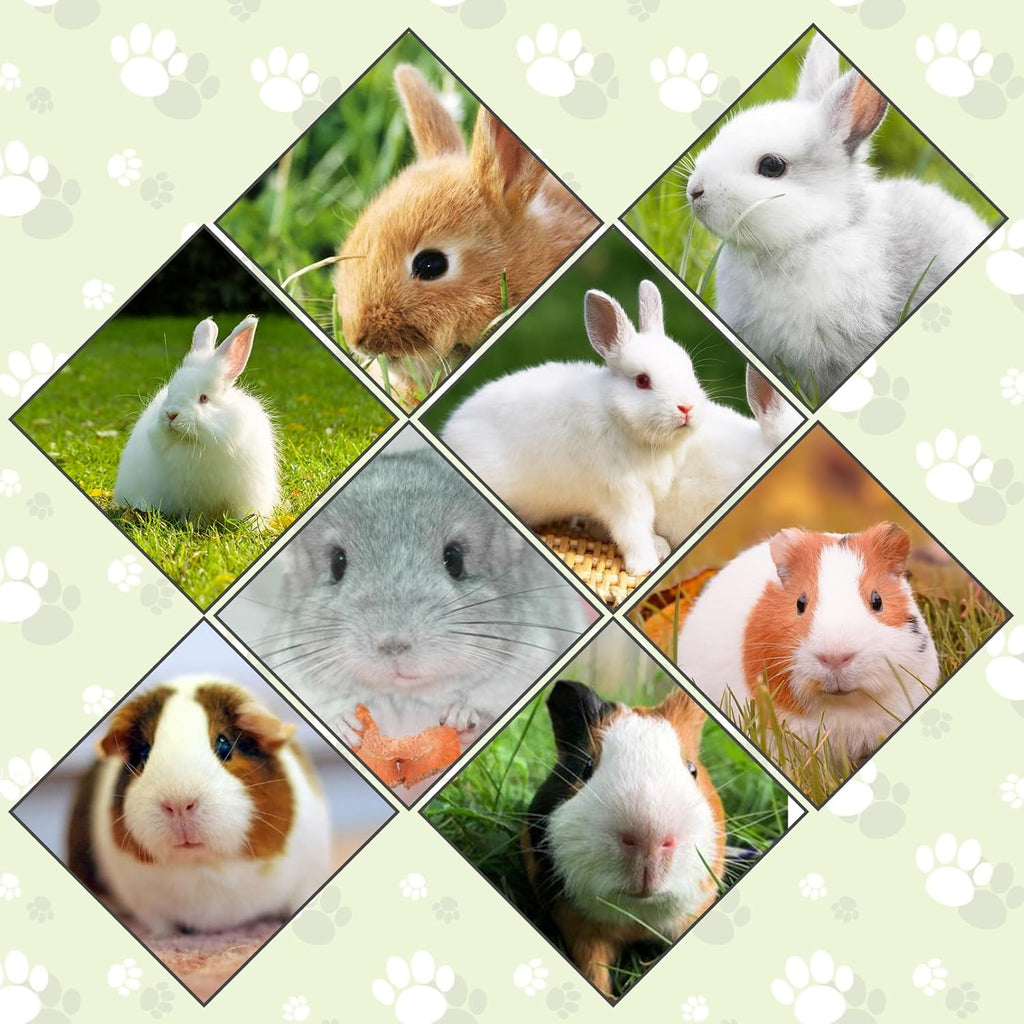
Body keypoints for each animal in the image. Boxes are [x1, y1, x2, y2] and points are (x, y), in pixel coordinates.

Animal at [67, 676, 331, 937]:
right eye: (144, 753)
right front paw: (165, 938)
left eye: (224, 746)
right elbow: (161, 925)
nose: (179, 803)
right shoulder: (145, 905)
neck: (202, 864)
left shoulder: (307, 877)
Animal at [233, 432, 587, 776]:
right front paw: (345, 723)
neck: (404, 696)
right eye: (337, 564)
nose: (393, 645)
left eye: (454, 560)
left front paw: (461, 717)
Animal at [442, 280, 707, 574]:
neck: (617, 416)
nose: (687, 408)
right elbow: (633, 532)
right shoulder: (625, 496)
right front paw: (644, 565)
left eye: (689, 369)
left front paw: (659, 546)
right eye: (642, 381)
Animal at [523, 680, 725, 999]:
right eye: (586, 766)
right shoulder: (580, 927)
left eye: (692, 769)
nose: (648, 839)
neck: (637, 915)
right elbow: (594, 970)